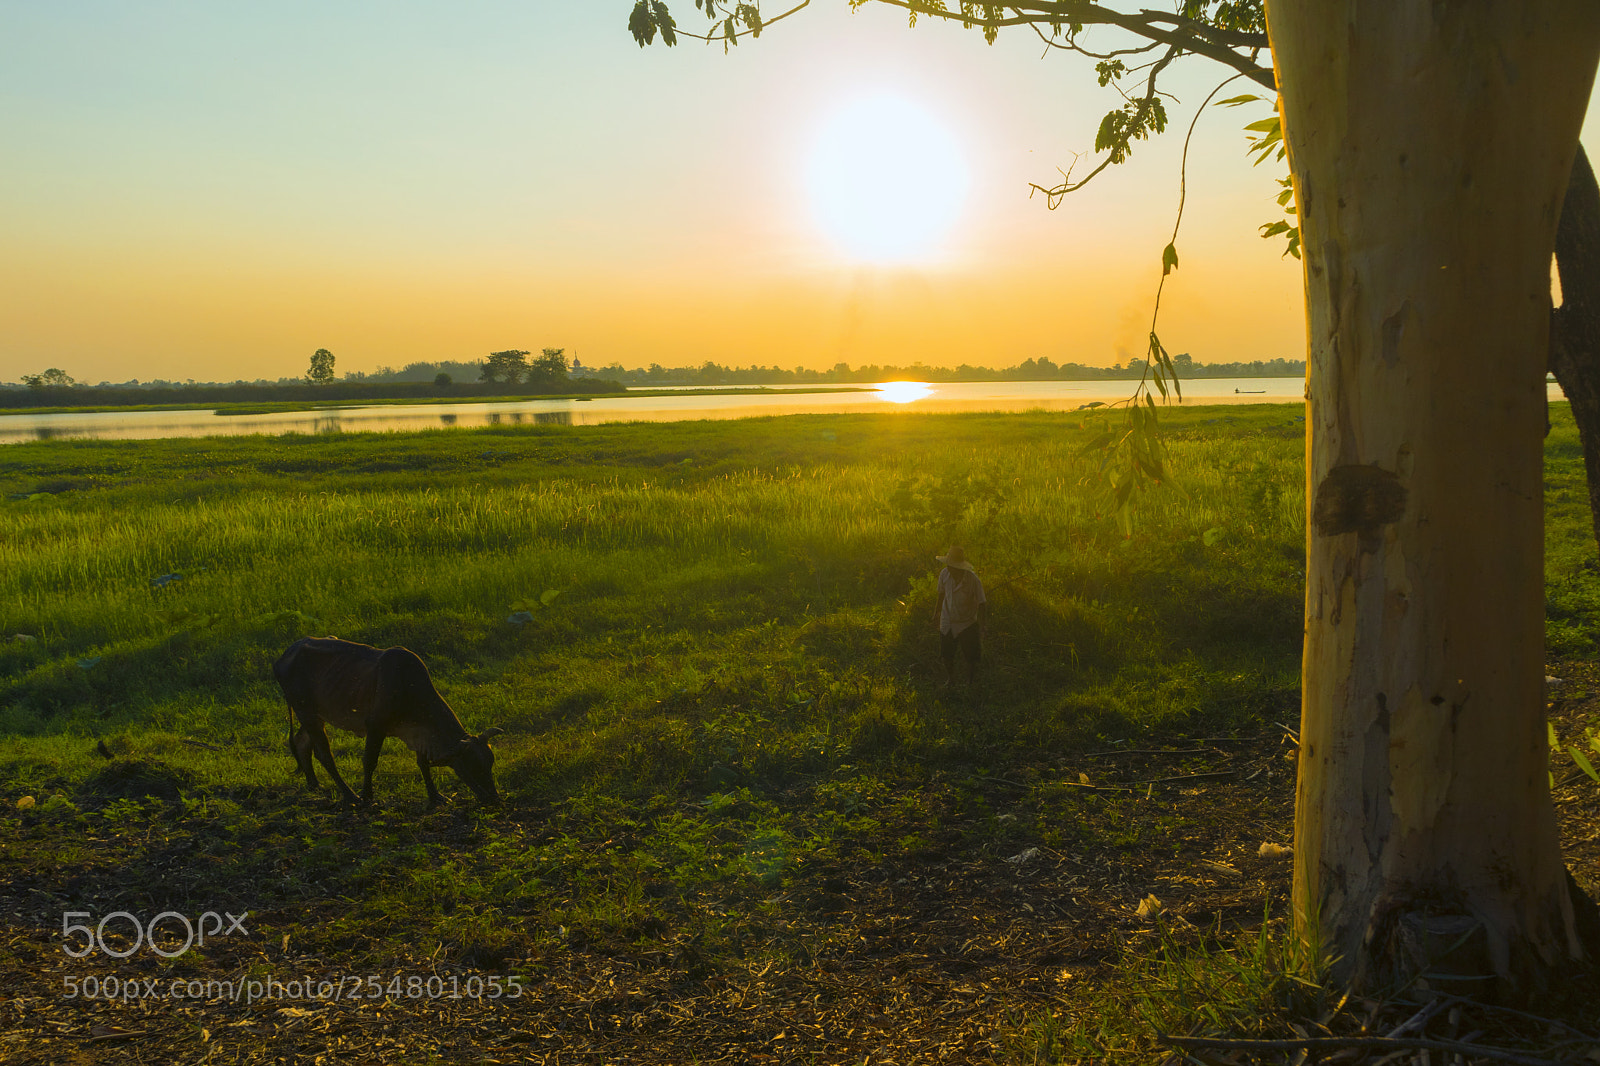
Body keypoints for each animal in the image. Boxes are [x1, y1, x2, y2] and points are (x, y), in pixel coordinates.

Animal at [272, 640, 502, 806]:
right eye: (472, 767)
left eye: (490, 764)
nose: (494, 799)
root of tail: (285, 654)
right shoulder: (376, 727)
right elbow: (369, 761)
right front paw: (367, 796)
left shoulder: (420, 733)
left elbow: (423, 763)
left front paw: (435, 796)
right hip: (306, 712)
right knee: (325, 755)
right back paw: (350, 796)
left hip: (315, 715)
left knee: (302, 742)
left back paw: (314, 785)